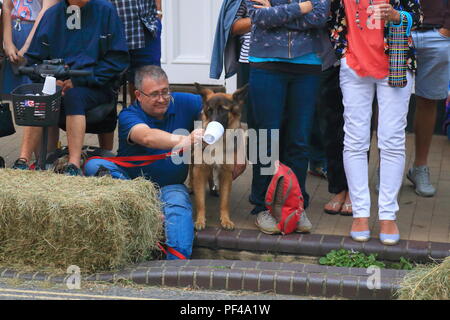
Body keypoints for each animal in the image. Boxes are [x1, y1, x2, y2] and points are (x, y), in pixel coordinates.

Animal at [191, 83, 248, 230]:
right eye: (210, 110)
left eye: (223, 110)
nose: (212, 124)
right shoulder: (199, 170)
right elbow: (200, 201)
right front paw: (200, 220)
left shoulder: (226, 173)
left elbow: (225, 201)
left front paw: (225, 219)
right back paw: (191, 186)